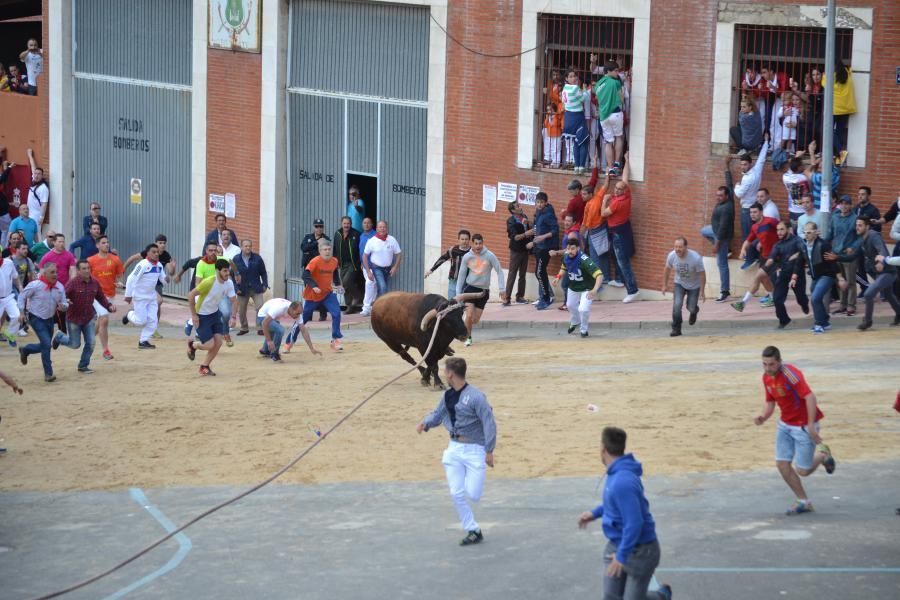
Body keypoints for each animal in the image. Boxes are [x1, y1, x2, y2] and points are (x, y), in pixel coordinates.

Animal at [31, 298, 468, 600]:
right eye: (450, 318)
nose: (464, 335)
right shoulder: (424, 343)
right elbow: (428, 362)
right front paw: (432, 379)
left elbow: (433, 363)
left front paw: (435, 378)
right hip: (390, 341)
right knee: (404, 356)